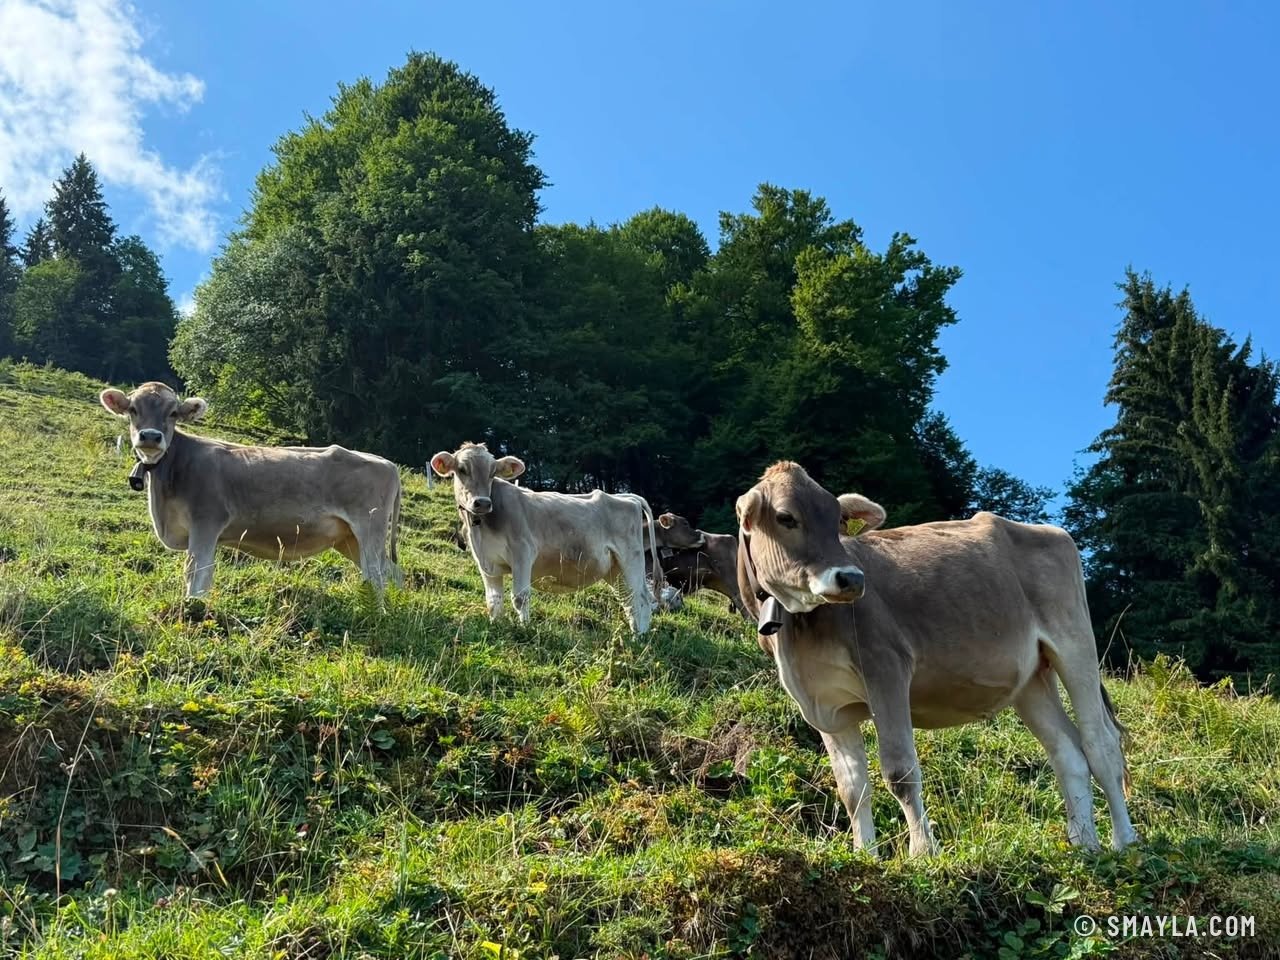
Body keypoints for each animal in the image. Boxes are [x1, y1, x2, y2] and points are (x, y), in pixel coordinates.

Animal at [100, 382, 402, 598]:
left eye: (173, 413)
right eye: (133, 409)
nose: (151, 437)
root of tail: (387, 462)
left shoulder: (207, 522)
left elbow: (197, 575)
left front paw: (193, 610)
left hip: (369, 527)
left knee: (376, 576)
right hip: (349, 538)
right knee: (391, 572)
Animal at [430, 442, 662, 633]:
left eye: (492, 472)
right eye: (462, 470)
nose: (483, 502)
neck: (482, 529)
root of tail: (628, 497)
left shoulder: (522, 552)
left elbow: (520, 597)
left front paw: (524, 628)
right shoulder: (486, 562)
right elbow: (493, 601)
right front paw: (495, 625)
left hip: (630, 558)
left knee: (640, 599)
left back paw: (640, 638)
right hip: (615, 568)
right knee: (629, 600)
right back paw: (635, 635)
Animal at [735, 461, 1138, 857]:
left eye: (836, 519)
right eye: (786, 517)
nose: (850, 578)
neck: (798, 632)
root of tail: (1049, 531)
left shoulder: (886, 667)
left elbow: (899, 771)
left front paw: (922, 852)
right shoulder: (824, 702)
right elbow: (851, 786)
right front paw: (866, 855)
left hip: (1074, 644)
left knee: (1100, 744)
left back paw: (1124, 843)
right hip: (1032, 677)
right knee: (1067, 752)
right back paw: (1085, 845)